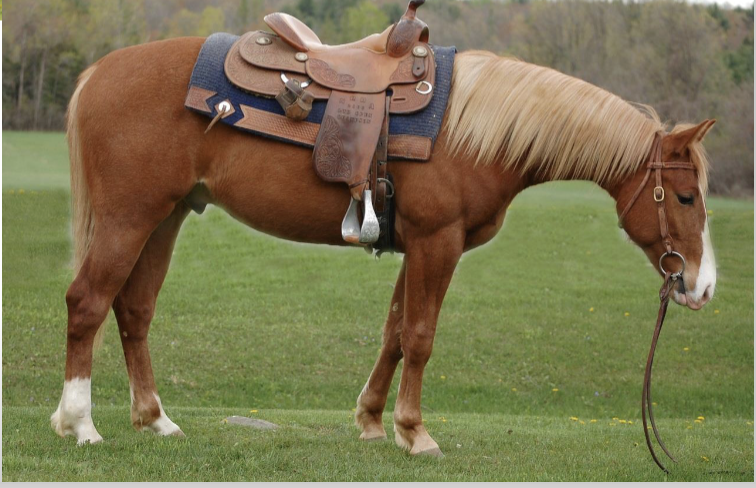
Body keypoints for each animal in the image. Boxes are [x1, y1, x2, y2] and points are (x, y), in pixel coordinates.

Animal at [51, 38, 717, 458]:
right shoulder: (438, 242)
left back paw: (155, 419)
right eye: (685, 197)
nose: (701, 286)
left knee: (133, 310)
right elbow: (420, 336)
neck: (472, 131)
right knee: (87, 303)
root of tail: (98, 73)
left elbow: (395, 331)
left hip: (164, 219)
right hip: (128, 217)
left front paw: (373, 421)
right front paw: (415, 432)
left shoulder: (416, 244)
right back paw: (79, 424)